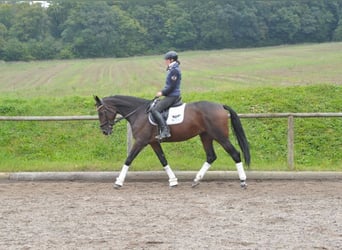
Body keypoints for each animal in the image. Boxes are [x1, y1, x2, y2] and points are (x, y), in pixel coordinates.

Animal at [95, 94, 250, 188]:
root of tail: (220, 106)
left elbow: (128, 160)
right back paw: (196, 180)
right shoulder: (153, 142)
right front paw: (173, 181)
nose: (105, 131)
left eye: (102, 112)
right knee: (211, 156)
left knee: (235, 153)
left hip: (220, 136)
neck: (138, 113)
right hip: (206, 136)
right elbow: (163, 160)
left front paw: (118, 182)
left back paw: (243, 181)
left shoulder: (140, 141)